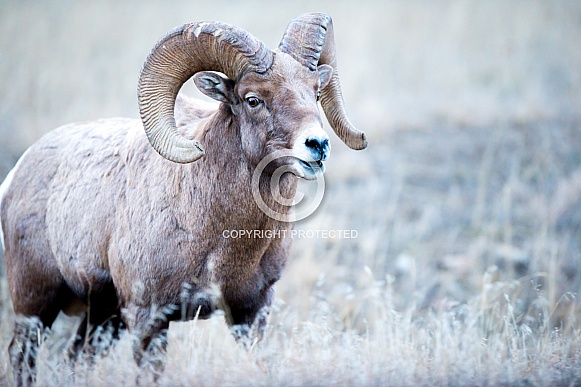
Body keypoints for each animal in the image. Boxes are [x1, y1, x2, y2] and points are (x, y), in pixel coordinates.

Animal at [0, 12, 368, 384]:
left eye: (316, 92)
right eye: (253, 99)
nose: (317, 145)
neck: (218, 237)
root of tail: (19, 172)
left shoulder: (251, 312)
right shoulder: (148, 317)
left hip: (104, 317)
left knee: (76, 359)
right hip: (36, 304)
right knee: (22, 356)